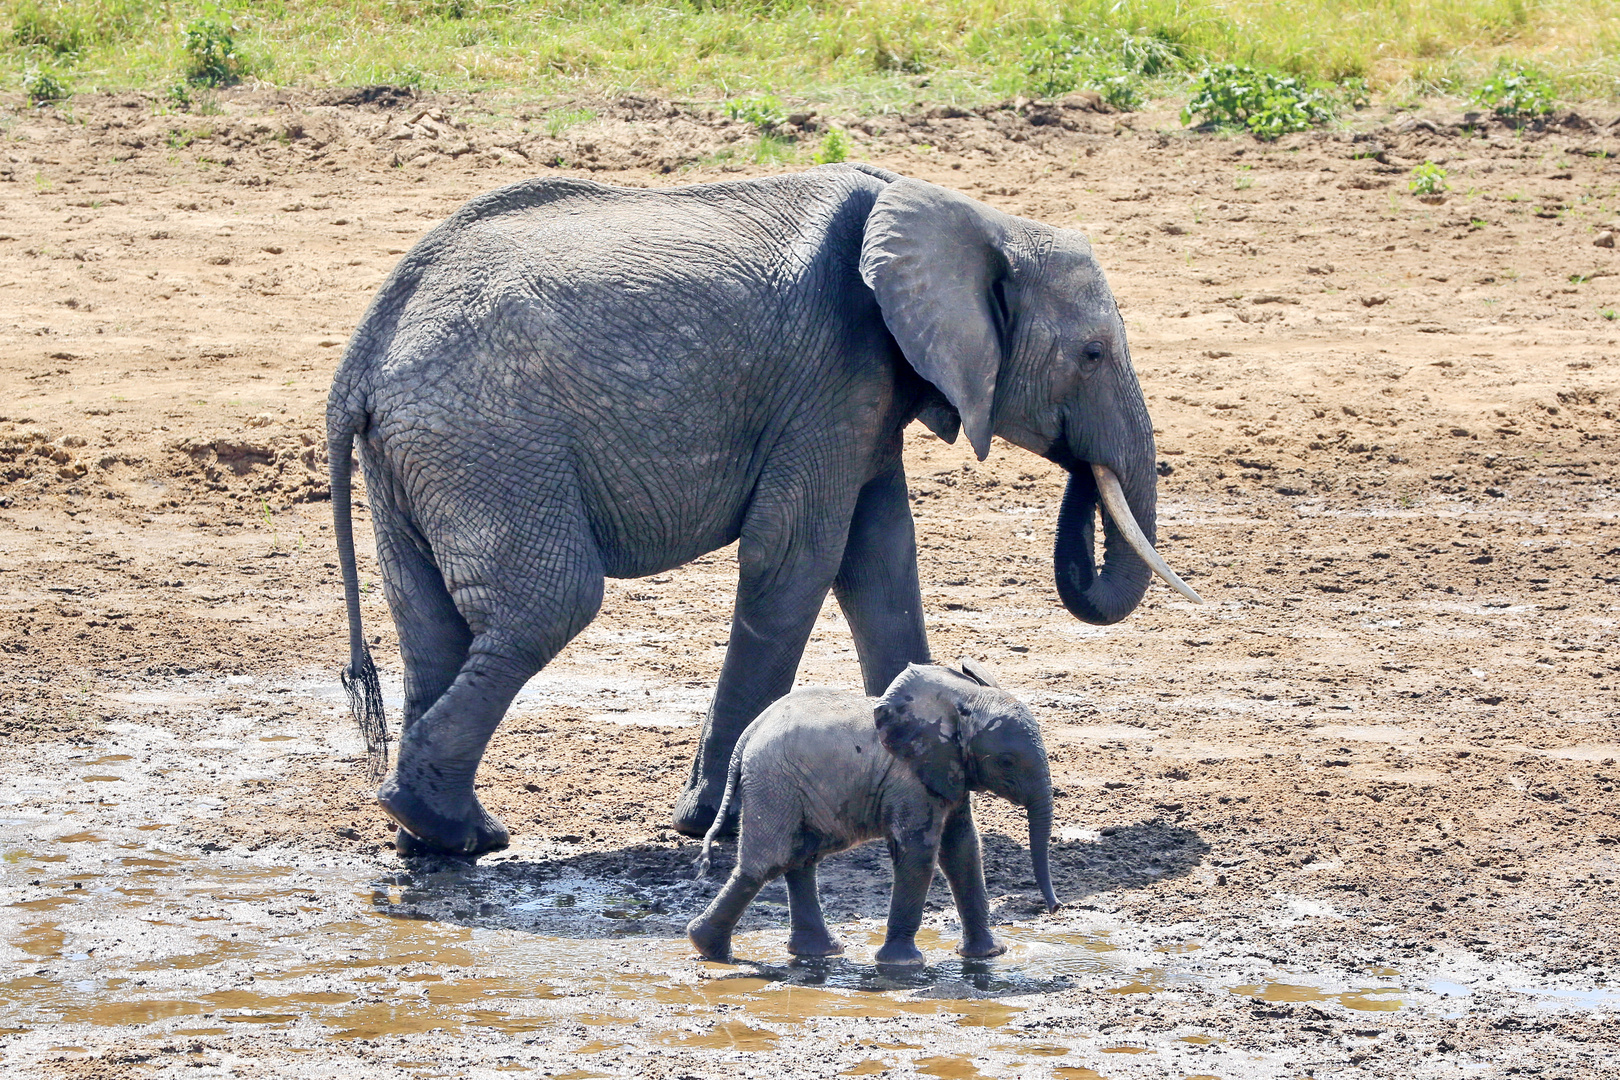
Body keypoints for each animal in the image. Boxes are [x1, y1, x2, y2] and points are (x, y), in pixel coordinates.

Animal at [328, 160, 1198, 854]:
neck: (970, 217)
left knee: (432, 626)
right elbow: (797, 559)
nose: (1081, 470)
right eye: (1092, 355)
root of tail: (361, 358)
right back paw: (445, 828)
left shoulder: (865, 393)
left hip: (421, 457)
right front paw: (708, 821)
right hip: (490, 440)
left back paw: (438, 840)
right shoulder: (833, 374)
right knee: (549, 605)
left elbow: (881, 560)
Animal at [686, 663, 1056, 965]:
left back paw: (817, 952)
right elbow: (919, 852)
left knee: (798, 858)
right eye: (1007, 762)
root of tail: (748, 734)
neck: (965, 698)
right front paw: (902, 965)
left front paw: (989, 955)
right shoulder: (909, 778)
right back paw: (708, 947)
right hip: (775, 782)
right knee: (768, 861)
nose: (1054, 908)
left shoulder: (949, 769)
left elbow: (962, 850)